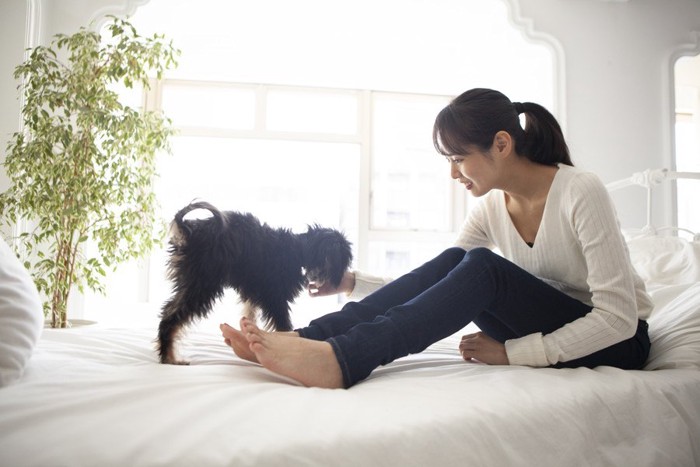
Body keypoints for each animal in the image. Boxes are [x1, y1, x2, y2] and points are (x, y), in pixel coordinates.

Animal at [160, 202, 356, 366]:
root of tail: (188, 231)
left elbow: (250, 316)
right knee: (170, 317)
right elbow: (283, 326)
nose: (343, 278)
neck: (298, 251)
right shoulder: (275, 300)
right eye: (344, 259)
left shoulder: (254, 295)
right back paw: (170, 357)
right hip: (202, 285)